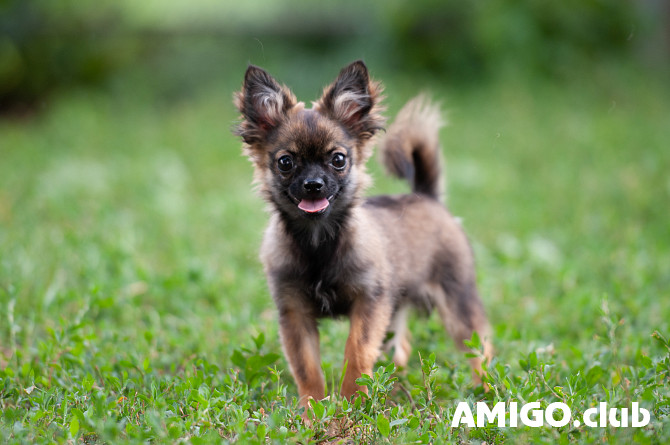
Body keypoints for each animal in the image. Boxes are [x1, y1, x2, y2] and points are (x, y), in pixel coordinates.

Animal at [235, 60, 494, 408]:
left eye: (338, 160)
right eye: (285, 162)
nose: (313, 184)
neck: (318, 240)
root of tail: (425, 196)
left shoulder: (369, 304)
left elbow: (357, 353)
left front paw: (351, 404)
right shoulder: (295, 314)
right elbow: (307, 368)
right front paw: (312, 411)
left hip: (458, 303)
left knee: (480, 350)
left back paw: (487, 390)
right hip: (395, 309)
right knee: (400, 349)